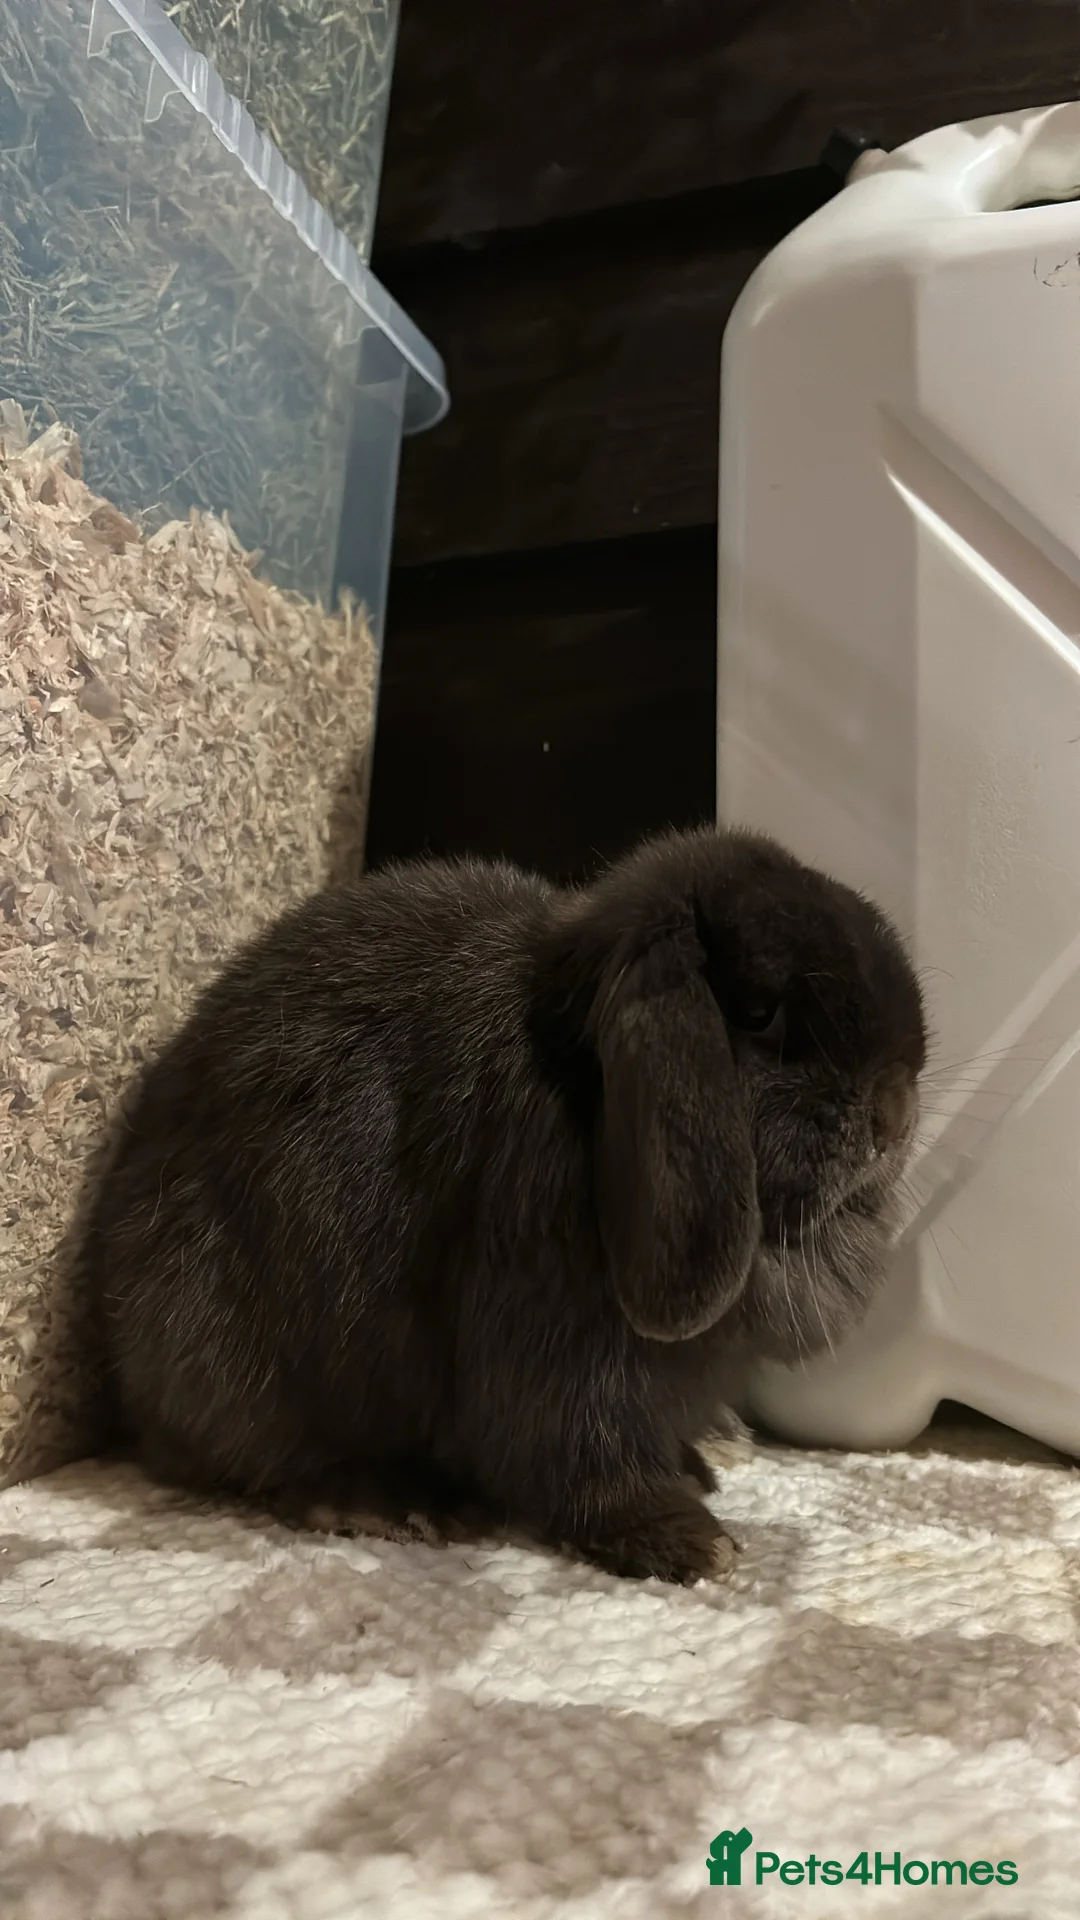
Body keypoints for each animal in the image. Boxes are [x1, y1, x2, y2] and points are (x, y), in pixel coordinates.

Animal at [83, 825, 926, 1584]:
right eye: (757, 1015)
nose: (894, 1116)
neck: (581, 1083)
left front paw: (696, 1462)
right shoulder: (552, 1339)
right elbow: (580, 1457)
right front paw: (688, 1541)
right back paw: (379, 1502)